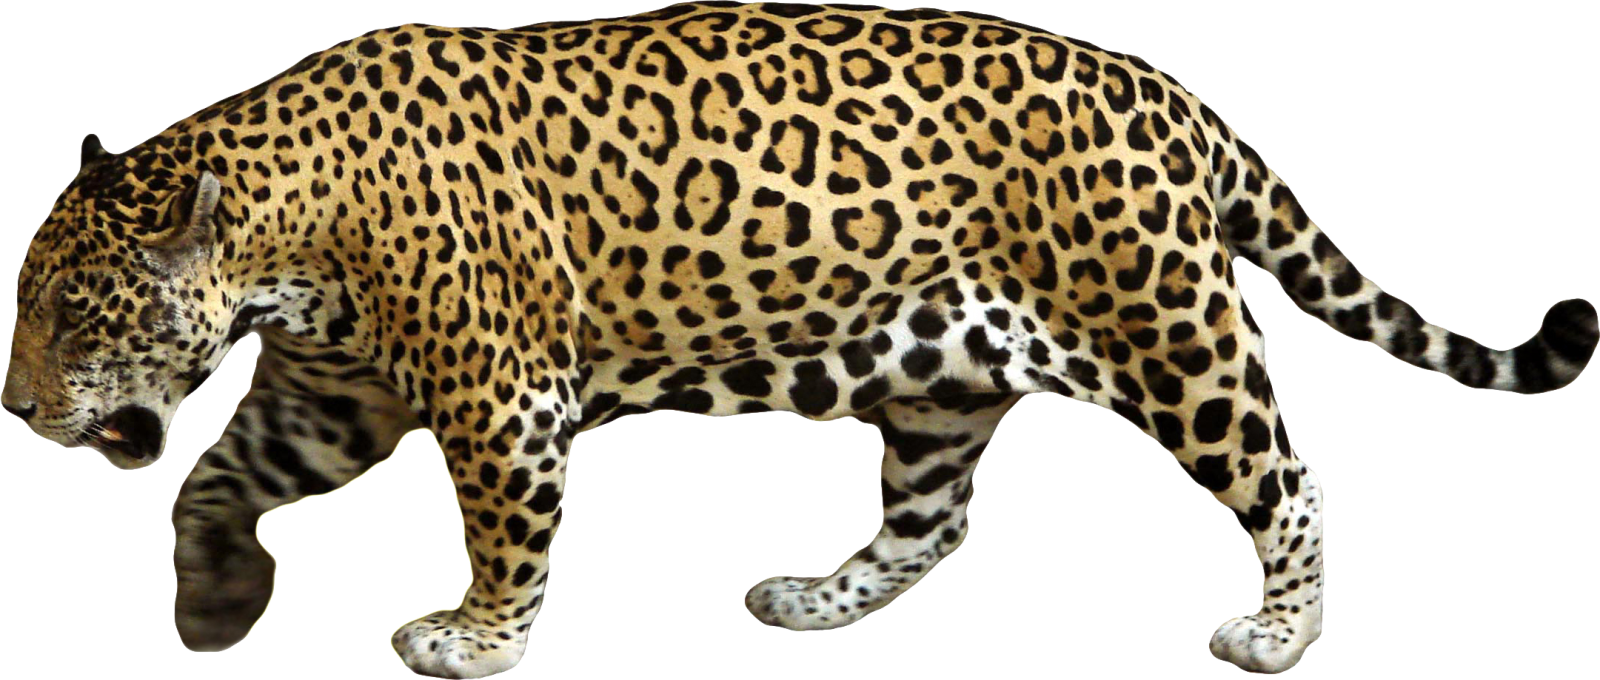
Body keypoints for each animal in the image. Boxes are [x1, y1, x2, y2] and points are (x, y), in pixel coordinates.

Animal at [4, 2, 1595, 677]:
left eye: (76, 311)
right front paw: (215, 608)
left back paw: (1278, 632)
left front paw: (474, 639)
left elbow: (505, 533)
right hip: (940, 373)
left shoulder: (499, 396)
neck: (289, 221)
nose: (12, 413)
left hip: (1165, 326)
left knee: (1293, 476)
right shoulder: (332, 389)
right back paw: (814, 599)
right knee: (934, 519)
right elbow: (217, 478)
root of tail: (1178, 97)